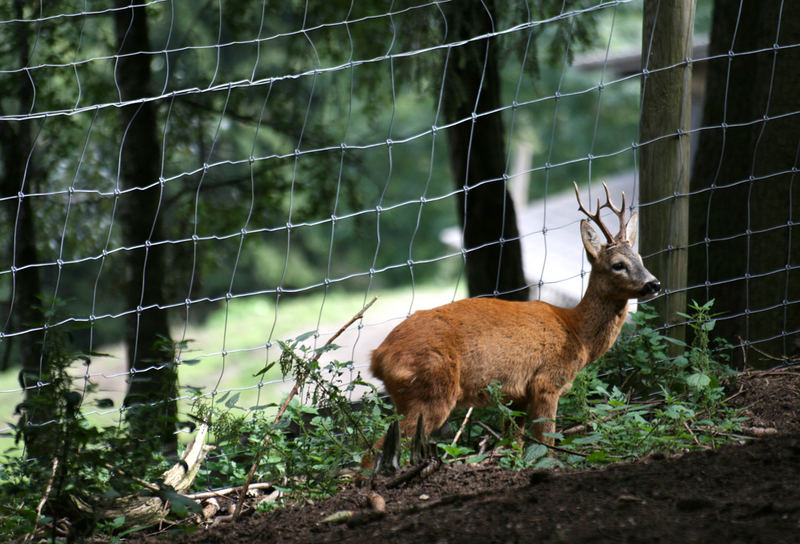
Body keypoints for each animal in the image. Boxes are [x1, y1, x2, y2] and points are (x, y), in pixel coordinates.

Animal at [368, 184, 664, 460]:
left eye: (641, 258)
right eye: (618, 264)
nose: (654, 284)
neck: (577, 331)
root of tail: (378, 356)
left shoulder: (518, 393)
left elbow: (514, 445)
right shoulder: (547, 381)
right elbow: (547, 444)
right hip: (431, 391)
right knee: (374, 452)